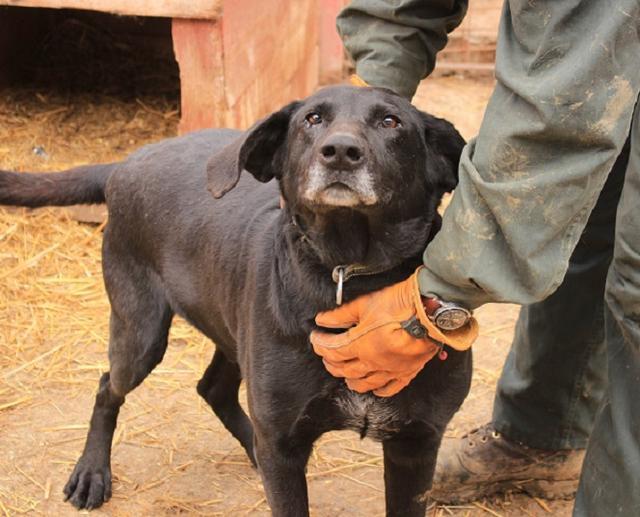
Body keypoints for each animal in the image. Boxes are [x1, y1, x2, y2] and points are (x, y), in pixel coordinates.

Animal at [0, 86, 470, 512]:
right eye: (312, 119)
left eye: (391, 122)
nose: (340, 151)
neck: (349, 273)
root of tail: (129, 160)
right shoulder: (283, 443)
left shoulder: (415, 447)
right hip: (141, 333)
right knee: (106, 387)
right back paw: (91, 472)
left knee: (212, 389)